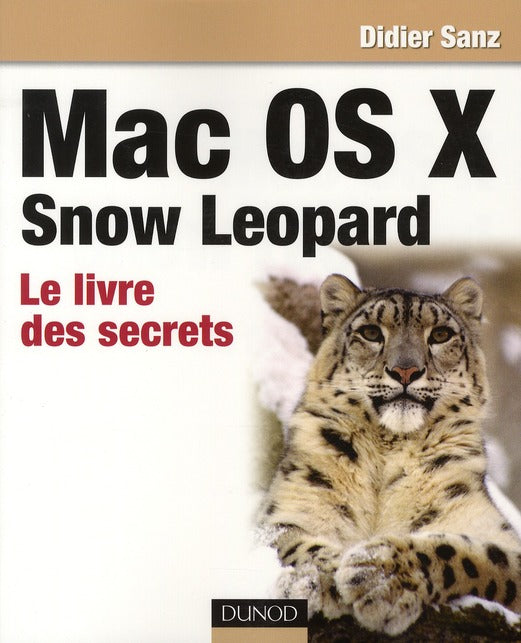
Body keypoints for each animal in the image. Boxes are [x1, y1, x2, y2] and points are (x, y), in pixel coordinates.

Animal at [260, 273, 521, 636]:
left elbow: (472, 554)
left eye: (441, 334)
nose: (406, 371)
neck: (389, 449)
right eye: (371, 332)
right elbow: (289, 539)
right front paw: (316, 579)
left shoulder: (493, 532)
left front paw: (380, 574)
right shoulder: (289, 507)